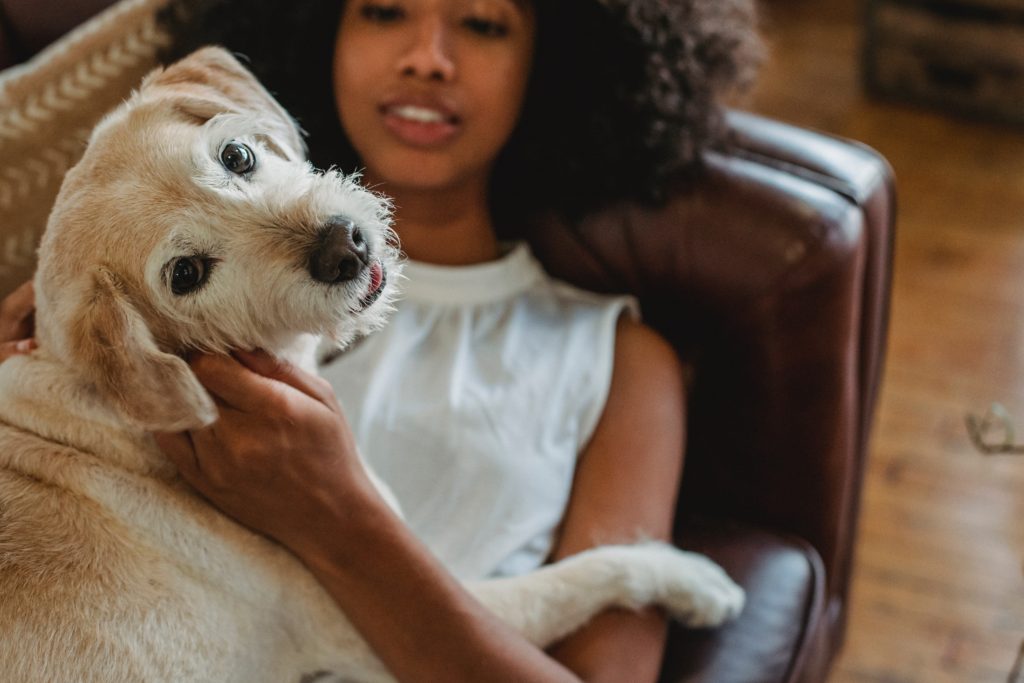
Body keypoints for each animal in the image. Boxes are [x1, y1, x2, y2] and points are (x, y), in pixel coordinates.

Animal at [0, 48, 741, 683]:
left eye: (236, 155)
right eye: (185, 274)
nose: (344, 246)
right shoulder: (385, 622)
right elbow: (576, 575)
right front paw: (688, 578)